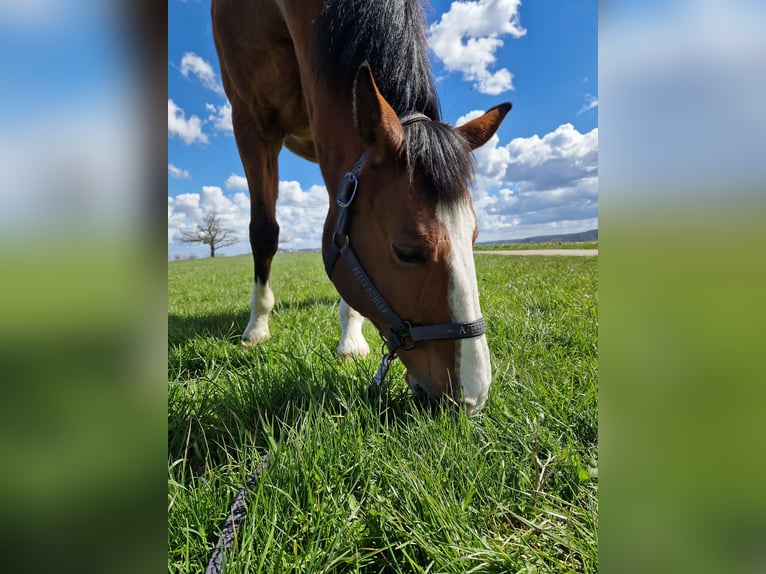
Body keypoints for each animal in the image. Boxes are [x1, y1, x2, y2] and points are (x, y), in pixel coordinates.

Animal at [212, 0, 510, 414]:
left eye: (474, 237)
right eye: (407, 251)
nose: (473, 395)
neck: (275, 12)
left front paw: (351, 338)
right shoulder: (251, 122)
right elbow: (264, 232)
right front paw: (257, 326)